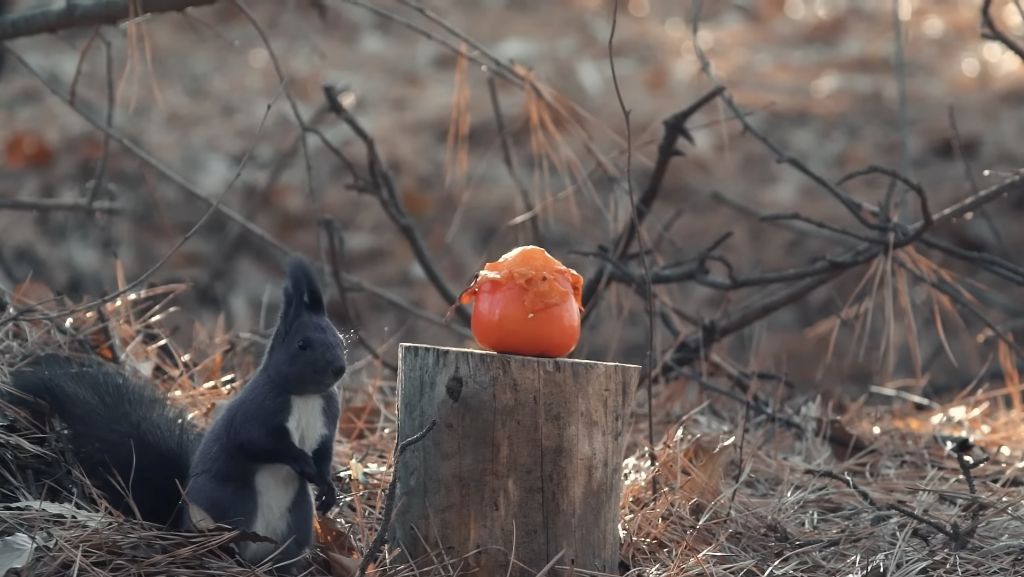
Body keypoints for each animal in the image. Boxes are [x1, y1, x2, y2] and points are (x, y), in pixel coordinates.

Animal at [7, 258, 348, 573]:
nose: (339, 368)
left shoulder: (328, 417)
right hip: (228, 506)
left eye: (339, 339)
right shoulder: (256, 412)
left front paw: (327, 486)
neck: (305, 397)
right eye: (302, 345)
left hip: (296, 523)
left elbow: (324, 452)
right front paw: (302, 462)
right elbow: (258, 442)